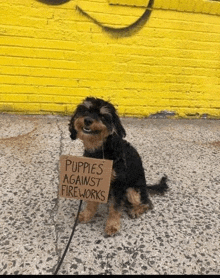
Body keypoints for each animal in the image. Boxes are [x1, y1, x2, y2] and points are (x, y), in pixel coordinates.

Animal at [69, 96, 168, 236]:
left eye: (103, 116)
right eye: (85, 110)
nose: (87, 120)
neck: (102, 150)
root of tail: (145, 187)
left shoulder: (118, 185)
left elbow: (115, 208)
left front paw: (112, 226)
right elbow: (91, 202)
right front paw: (87, 215)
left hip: (132, 190)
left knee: (147, 203)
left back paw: (136, 210)